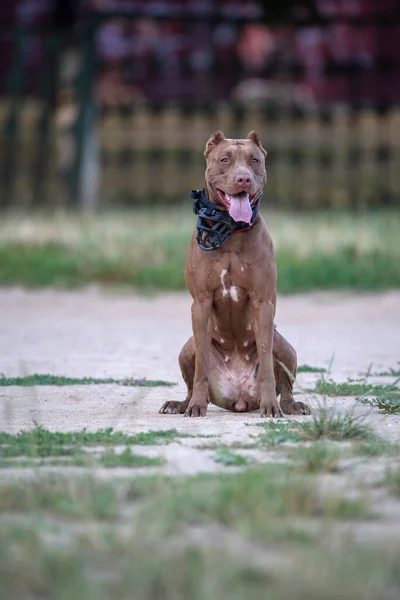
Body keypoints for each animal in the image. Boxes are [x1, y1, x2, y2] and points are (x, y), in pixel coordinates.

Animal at [159, 130, 310, 418]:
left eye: (254, 160)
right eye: (225, 159)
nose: (244, 179)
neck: (230, 231)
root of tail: (239, 398)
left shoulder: (263, 303)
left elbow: (266, 364)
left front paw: (270, 407)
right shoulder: (201, 303)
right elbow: (201, 370)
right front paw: (196, 406)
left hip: (285, 347)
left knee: (285, 384)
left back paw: (290, 405)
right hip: (187, 349)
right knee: (193, 377)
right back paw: (181, 404)